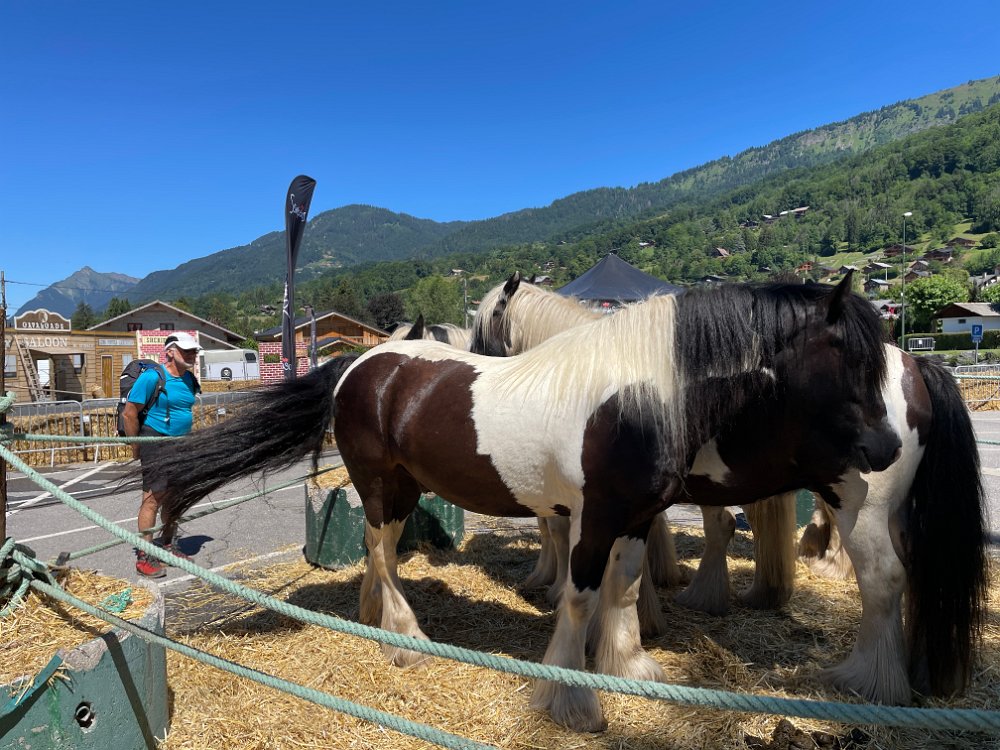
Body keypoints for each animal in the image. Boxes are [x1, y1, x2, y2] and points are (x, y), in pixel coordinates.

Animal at [140, 277, 903, 731]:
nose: (889, 447)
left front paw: (630, 667)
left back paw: (376, 622)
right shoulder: (593, 520)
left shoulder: (635, 518)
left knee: (378, 556)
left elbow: (625, 591)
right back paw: (408, 642)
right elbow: (579, 597)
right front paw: (570, 697)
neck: (635, 394)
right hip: (382, 486)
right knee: (382, 550)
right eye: (847, 357)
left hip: (401, 486)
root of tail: (363, 361)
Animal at [473, 272, 988, 705]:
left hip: (858, 504)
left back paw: (867, 679)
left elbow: (576, 541)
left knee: (883, 578)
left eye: (482, 331)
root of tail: (918, 366)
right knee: (913, 572)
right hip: (895, 511)